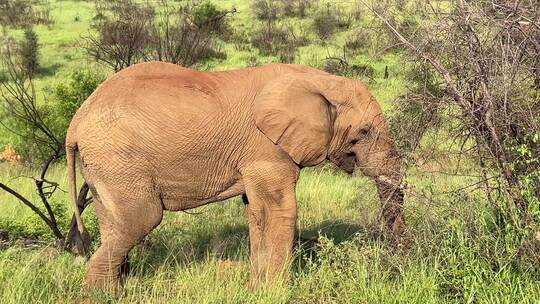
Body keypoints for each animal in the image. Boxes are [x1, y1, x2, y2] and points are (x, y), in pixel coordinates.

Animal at [65, 60, 404, 290]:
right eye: (364, 132)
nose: (397, 260)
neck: (321, 81)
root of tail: (76, 122)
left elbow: (256, 211)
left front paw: (257, 289)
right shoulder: (266, 148)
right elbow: (281, 210)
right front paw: (278, 291)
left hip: (105, 168)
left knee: (116, 226)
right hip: (119, 160)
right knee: (141, 219)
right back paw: (99, 296)